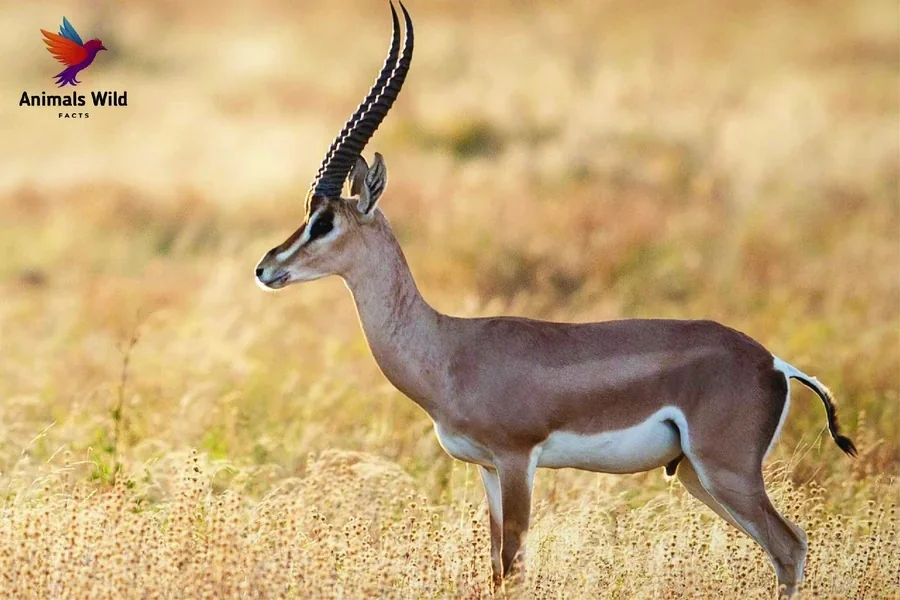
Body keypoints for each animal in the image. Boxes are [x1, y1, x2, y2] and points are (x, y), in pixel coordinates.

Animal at [254, 3, 857, 596]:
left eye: (324, 221)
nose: (266, 268)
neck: (448, 348)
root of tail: (774, 362)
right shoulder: (487, 469)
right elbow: (496, 569)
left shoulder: (518, 459)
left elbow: (515, 568)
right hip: (693, 473)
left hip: (725, 470)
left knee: (790, 546)